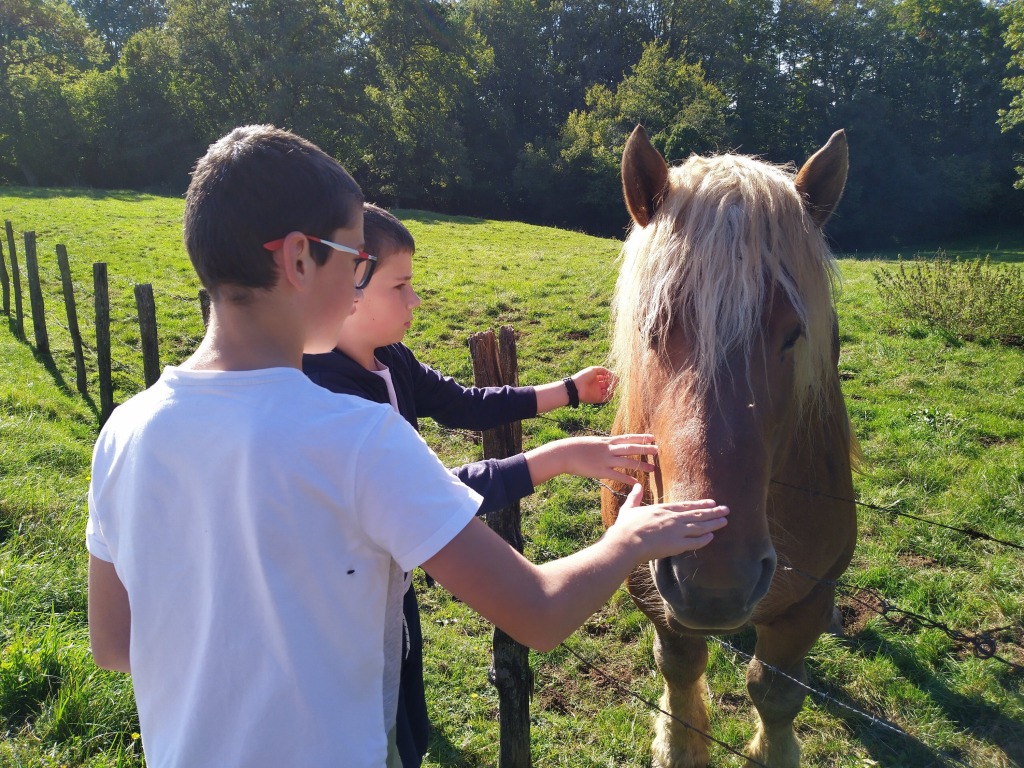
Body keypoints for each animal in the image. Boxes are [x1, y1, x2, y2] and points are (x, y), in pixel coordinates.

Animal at [601, 126, 857, 768]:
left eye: (795, 333)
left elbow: (775, 692)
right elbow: (678, 666)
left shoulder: (804, 603)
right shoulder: (652, 586)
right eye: (652, 326)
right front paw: (679, 746)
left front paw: (775, 751)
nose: (716, 582)